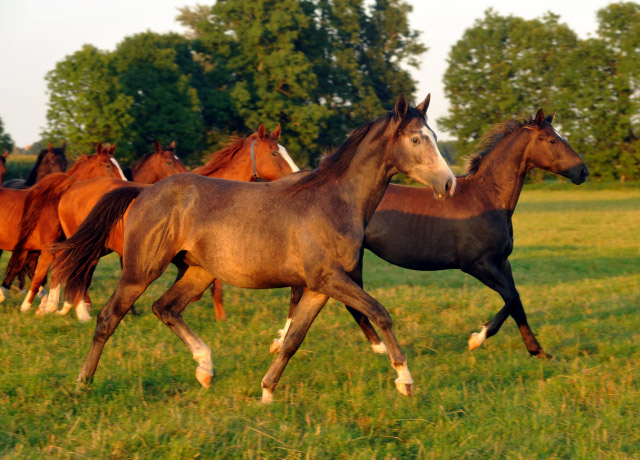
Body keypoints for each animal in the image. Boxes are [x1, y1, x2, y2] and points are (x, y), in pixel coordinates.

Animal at [272, 107, 588, 360]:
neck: (487, 198)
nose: (583, 172)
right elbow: (511, 297)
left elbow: (517, 302)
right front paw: (477, 339)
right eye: (552, 140)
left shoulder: (502, 262)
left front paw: (538, 351)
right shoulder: (477, 264)